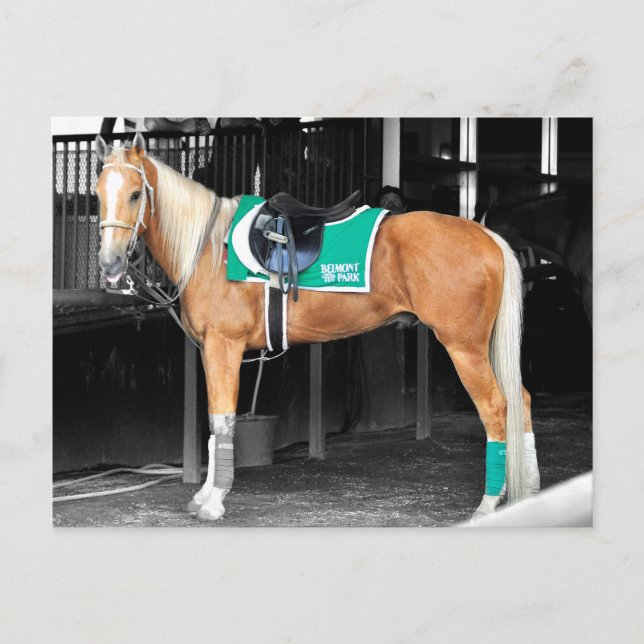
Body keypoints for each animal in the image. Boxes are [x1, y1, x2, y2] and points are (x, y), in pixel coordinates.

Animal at [94, 132, 540, 522]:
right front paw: (204, 495)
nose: (110, 262)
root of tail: (486, 235)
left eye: (135, 194)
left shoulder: (225, 347)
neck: (209, 248)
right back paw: (531, 490)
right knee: (521, 400)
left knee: (495, 407)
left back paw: (487, 503)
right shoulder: (210, 350)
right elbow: (213, 422)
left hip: (464, 347)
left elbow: (223, 421)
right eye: (97, 193)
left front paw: (214, 500)